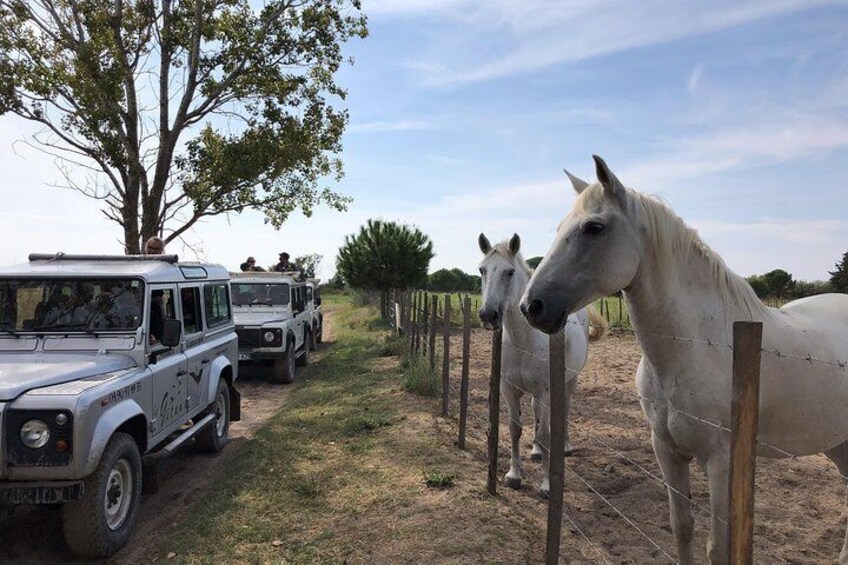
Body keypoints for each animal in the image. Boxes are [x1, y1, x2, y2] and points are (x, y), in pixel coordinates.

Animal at [476, 231, 604, 496]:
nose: (488, 315)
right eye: (482, 270)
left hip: (568, 382)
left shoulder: (545, 391)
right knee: (536, 413)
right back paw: (535, 451)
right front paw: (513, 475)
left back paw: (565, 447)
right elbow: (515, 429)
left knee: (564, 411)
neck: (523, 340)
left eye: (509, 272)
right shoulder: (508, 389)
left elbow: (546, 434)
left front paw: (546, 484)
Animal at [520, 155, 848, 564]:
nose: (531, 306)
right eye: (560, 227)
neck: (694, 347)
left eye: (594, 227)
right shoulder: (667, 450)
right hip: (838, 443)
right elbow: (682, 526)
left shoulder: (721, 462)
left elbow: (718, 545)